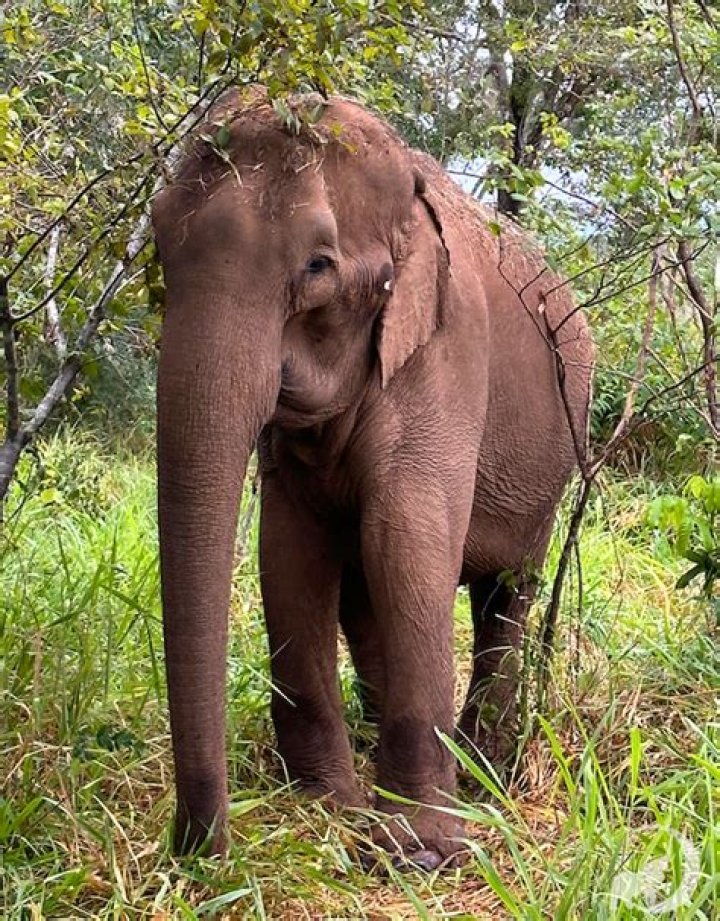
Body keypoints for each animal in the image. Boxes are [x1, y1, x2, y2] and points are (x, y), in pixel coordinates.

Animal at [151, 87, 594, 869]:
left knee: (507, 594)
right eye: (156, 241)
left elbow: (406, 537)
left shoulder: (450, 346)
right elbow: (291, 552)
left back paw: (483, 768)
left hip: (557, 462)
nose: (201, 850)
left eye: (318, 267)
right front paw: (330, 804)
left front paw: (420, 849)